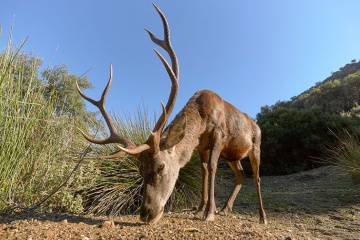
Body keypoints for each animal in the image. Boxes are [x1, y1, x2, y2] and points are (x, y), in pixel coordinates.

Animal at [76, 3, 268, 225]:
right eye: (140, 170)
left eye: (160, 167)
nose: (146, 214)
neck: (203, 118)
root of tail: (257, 126)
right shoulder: (200, 146)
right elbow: (203, 170)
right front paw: (199, 209)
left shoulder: (219, 134)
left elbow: (212, 167)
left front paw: (208, 213)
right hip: (233, 155)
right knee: (241, 175)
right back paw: (225, 209)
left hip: (256, 146)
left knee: (256, 176)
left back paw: (262, 216)